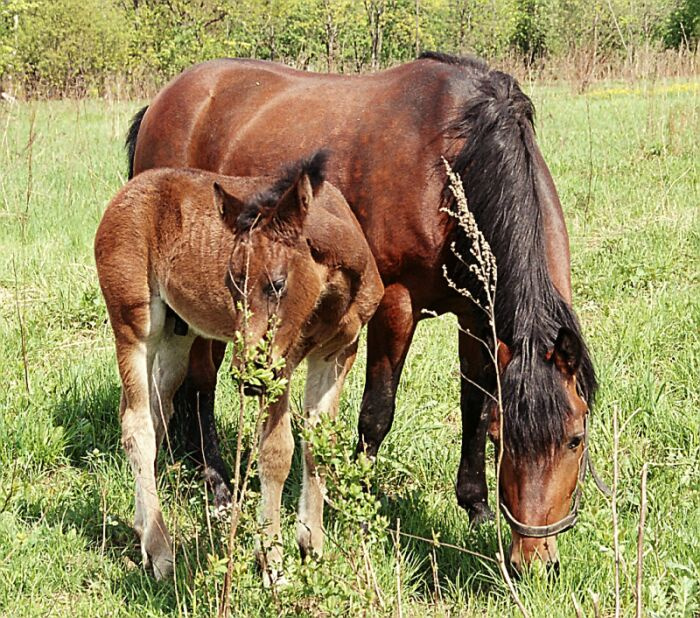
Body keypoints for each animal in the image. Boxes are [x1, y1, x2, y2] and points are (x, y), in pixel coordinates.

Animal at [95, 152, 384, 580]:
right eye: (231, 283)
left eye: (277, 283)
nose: (246, 374)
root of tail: (123, 195)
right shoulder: (281, 364)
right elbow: (277, 452)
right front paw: (273, 561)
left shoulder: (339, 351)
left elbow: (320, 441)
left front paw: (312, 543)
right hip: (134, 321)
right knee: (137, 424)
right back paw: (161, 551)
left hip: (178, 333)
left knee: (157, 410)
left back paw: (143, 528)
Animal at [126, 52, 597, 572]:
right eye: (505, 441)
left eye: (575, 438)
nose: (535, 561)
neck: (455, 161)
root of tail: (165, 99)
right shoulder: (396, 304)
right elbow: (377, 413)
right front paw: (352, 504)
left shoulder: (477, 316)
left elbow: (473, 405)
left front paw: (476, 507)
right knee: (202, 382)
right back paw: (216, 485)